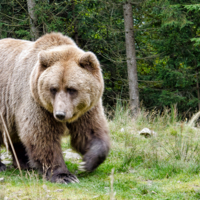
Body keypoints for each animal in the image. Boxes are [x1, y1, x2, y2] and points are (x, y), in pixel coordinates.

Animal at [0, 32, 110, 184]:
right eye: (53, 88)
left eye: (72, 89)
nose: (60, 114)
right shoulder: (37, 103)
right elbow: (42, 136)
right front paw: (64, 175)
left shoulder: (86, 109)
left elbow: (90, 132)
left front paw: (86, 163)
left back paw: (24, 163)